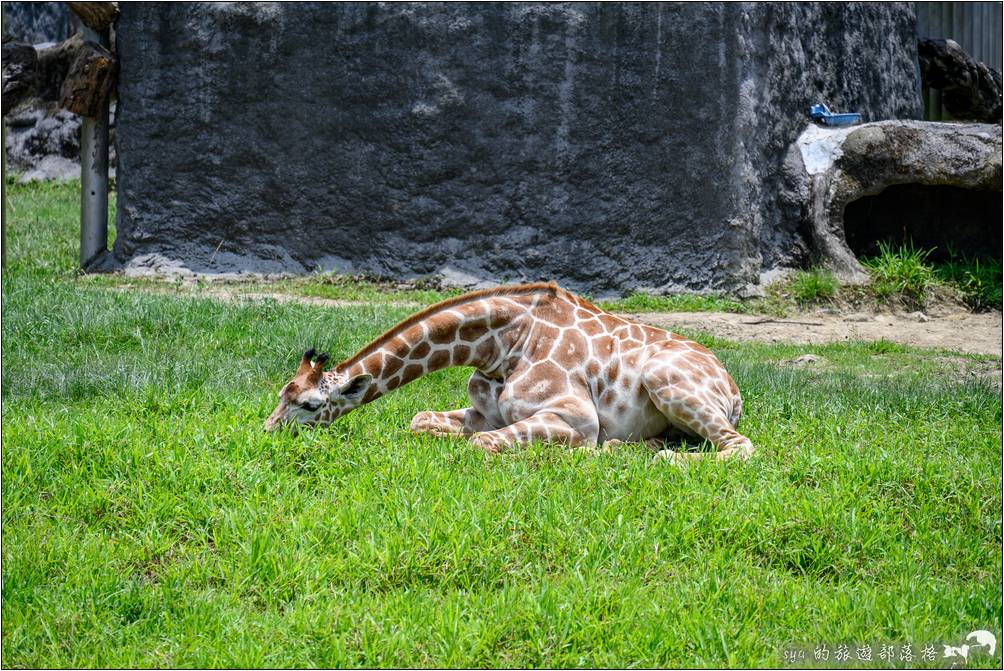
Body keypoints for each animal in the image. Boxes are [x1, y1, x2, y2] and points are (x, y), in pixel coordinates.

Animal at [267, 281, 755, 462]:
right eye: (281, 395)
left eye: (310, 405)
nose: (267, 431)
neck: (501, 346)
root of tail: (733, 391)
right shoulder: (482, 413)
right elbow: (419, 420)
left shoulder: (576, 418)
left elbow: (483, 444)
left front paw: (579, 454)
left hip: (662, 377)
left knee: (740, 447)